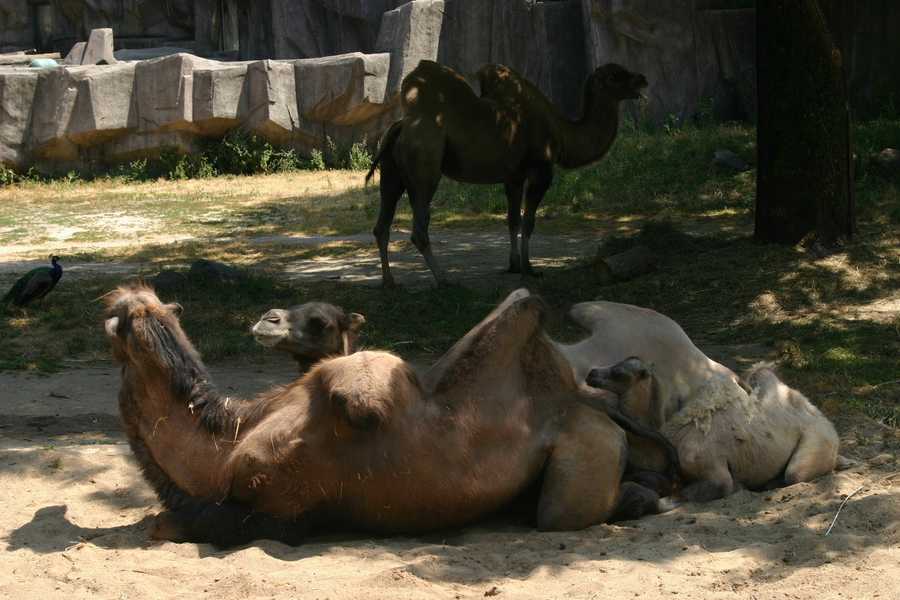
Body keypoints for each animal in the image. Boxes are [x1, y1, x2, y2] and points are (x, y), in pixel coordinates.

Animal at [105, 286, 680, 548]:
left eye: (134, 313)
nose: (124, 296)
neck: (223, 445)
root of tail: (583, 399)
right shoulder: (274, 513)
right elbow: (165, 524)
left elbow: (363, 385)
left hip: (580, 432)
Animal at [366, 61, 648, 286]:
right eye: (615, 76)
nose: (642, 78)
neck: (561, 132)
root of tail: (401, 126)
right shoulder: (541, 171)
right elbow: (529, 221)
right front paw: (529, 268)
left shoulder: (514, 176)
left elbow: (512, 220)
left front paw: (514, 265)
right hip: (425, 166)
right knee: (419, 227)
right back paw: (444, 279)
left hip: (391, 173)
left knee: (382, 225)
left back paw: (390, 281)